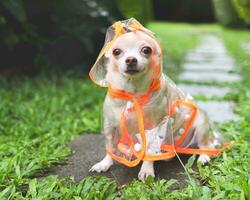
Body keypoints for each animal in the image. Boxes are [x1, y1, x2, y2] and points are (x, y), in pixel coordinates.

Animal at [89, 30, 218, 181]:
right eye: (116, 51)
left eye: (146, 50)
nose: (131, 59)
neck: (133, 94)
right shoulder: (110, 126)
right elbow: (110, 147)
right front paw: (105, 163)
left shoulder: (153, 129)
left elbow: (149, 151)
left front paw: (146, 170)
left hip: (201, 128)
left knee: (206, 145)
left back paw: (203, 156)